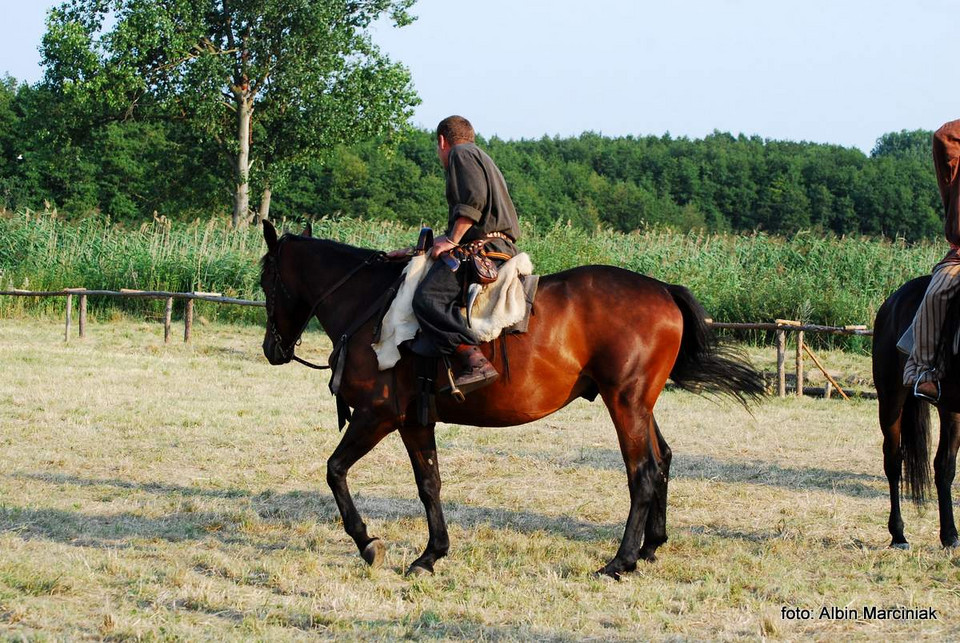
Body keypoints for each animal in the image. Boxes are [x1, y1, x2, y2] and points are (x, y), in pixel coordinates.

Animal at [256, 221, 764, 580]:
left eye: (265, 281)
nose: (272, 349)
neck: (370, 305)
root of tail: (663, 290)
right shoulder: (415, 420)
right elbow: (429, 483)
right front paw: (431, 554)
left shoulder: (379, 415)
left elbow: (336, 470)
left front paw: (367, 542)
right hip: (640, 404)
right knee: (664, 460)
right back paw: (651, 546)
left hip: (624, 403)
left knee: (642, 473)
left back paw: (619, 562)